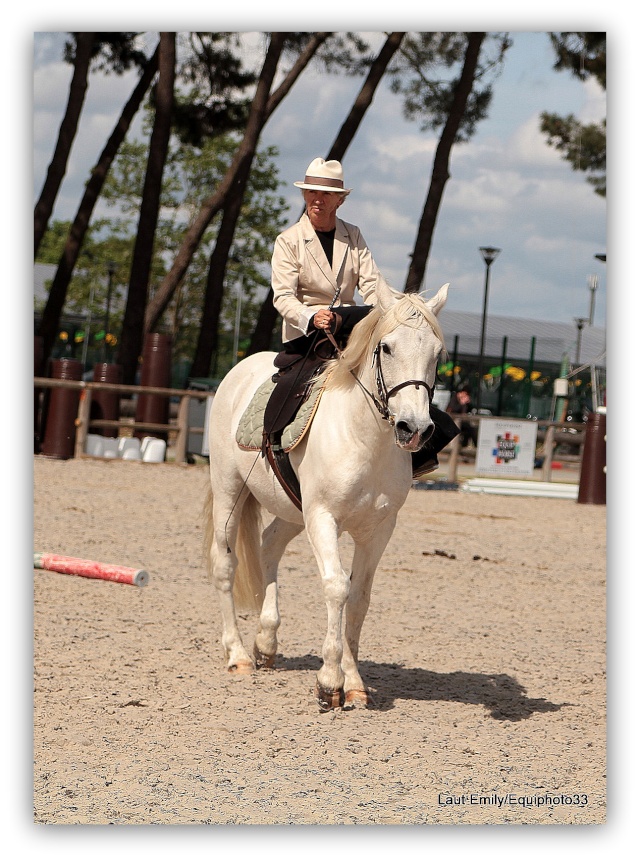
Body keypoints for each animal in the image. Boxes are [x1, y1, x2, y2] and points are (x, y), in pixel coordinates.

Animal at [205, 278, 450, 708]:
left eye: (437, 354)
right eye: (387, 347)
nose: (415, 428)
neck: (364, 439)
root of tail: (239, 371)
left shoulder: (378, 529)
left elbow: (359, 598)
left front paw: (354, 683)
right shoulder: (323, 518)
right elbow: (337, 587)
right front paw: (329, 682)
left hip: (291, 510)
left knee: (269, 545)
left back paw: (266, 642)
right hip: (229, 492)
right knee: (225, 563)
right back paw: (238, 655)